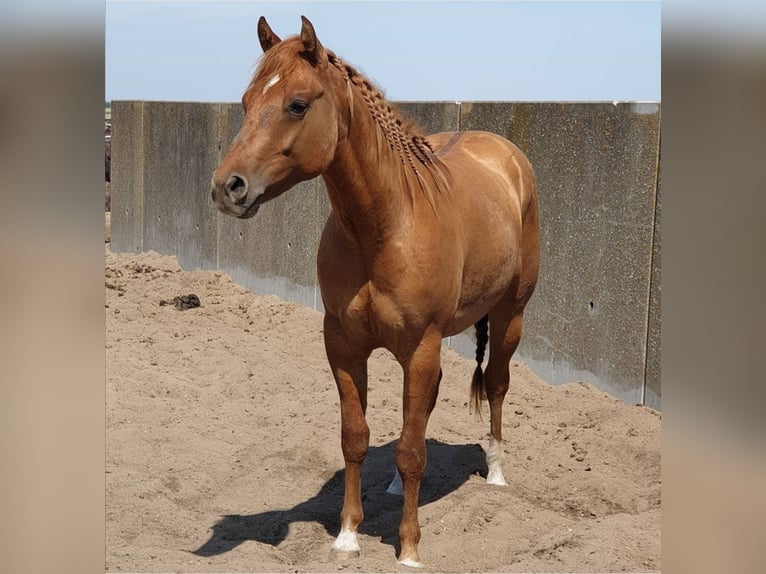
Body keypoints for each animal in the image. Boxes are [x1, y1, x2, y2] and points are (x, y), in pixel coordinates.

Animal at [212, 15, 540, 568]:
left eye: (297, 104)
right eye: (246, 101)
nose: (227, 187)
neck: (384, 227)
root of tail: (507, 156)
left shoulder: (422, 345)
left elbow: (412, 451)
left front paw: (408, 547)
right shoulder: (344, 347)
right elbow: (357, 437)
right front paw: (347, 533)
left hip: (508, 315)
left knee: (496, 384)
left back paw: (496, 470)